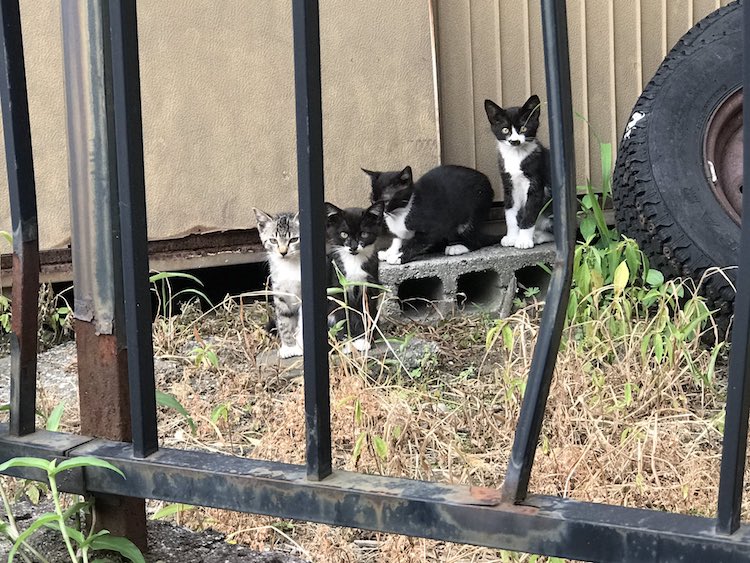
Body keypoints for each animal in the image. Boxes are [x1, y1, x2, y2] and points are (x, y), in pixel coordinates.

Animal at [254, 209, 304, 360]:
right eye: (273, 240)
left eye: (294, 239)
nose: (283, 252)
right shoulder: (280, 292)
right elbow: (284, 320)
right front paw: (288, 347)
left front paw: (300, 346)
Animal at [324, 202, 384, 352]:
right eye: (344, 234)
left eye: (364, 234)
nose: (353, 247)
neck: (354, 261)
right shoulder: (338, 286)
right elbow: (343, 313)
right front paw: (347, 342)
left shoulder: (370, 285)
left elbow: (365, 312)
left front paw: (363, 340)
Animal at [364, 164, 500, 266]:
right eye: (372, 200)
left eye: (386, 201)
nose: (378, 212)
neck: (401, 212)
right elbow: (398, 239)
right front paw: (390, 252)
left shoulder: (434, 226)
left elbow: (417, 242)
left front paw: (398, 256)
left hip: (474, 209)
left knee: (476, 239)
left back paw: (458, 247)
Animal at [484, 94, 556, 249]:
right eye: (505, 130)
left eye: (523, 128)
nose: (514, 141)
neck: (516, 155)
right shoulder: (508, 184)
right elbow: (510, 212)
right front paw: (512, 237)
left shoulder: (536, 183)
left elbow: (529, 212)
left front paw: (523, 240)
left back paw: (538, 236)